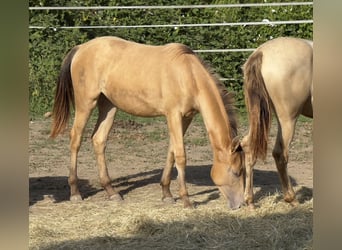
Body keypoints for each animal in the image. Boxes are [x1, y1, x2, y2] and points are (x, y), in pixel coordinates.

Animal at [49, 36, 244, 209]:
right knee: (76, 139)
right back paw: (75, 192)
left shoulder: (186, 117)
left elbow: (171, 152)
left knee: (99, 140)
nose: (239, 204)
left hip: (109, 106)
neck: (188, 75)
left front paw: (166, 193)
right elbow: (180, 156)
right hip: (86, 103)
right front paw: (186, 200)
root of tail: (81, 48)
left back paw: (111, 191)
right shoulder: (173, 115)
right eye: (235, 172)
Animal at [240, 37, 312, 208]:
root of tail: (261, 52)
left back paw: (249, 201)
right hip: (288, 119)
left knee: (248, 145)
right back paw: (291, 198)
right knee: (280, 153)